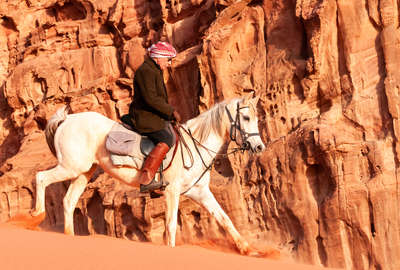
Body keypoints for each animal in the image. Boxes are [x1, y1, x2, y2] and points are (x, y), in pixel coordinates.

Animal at [32, 95, 266, 255]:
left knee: (68, 201)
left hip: (83, 172)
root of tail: (67, 119)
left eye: (256, 119)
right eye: (246, 117)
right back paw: (37, 216)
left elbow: (225, 219)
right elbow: (171, 226)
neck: (194, 145)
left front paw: (248, 250)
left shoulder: (200, 192)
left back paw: (69, 236)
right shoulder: (172, 191)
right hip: (70, 167)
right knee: (41, 178)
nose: (259, 147)